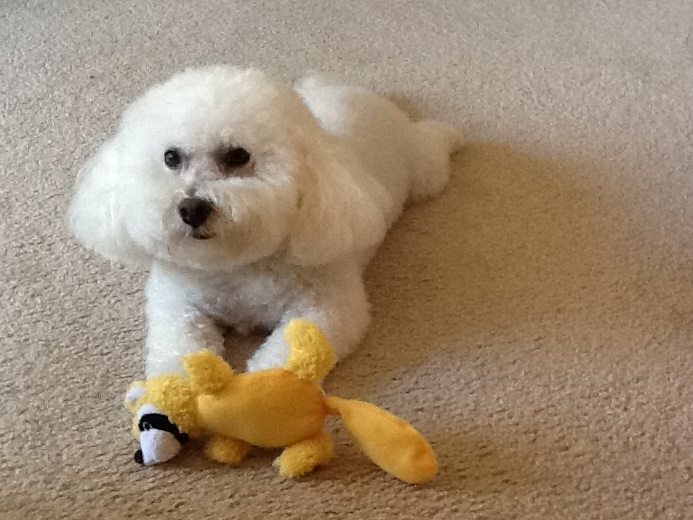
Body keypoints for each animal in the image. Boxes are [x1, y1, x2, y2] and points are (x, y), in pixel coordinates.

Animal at [67, 68, 462, 378]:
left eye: (238, 155)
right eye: (171, 157)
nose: (191, 208)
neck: (236, 264)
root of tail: (348, 89)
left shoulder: (329, 308)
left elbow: (288, 351)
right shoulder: (176, 305)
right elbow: (177, 349)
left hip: (423, 172)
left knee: (432, 146)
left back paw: (450, 136)